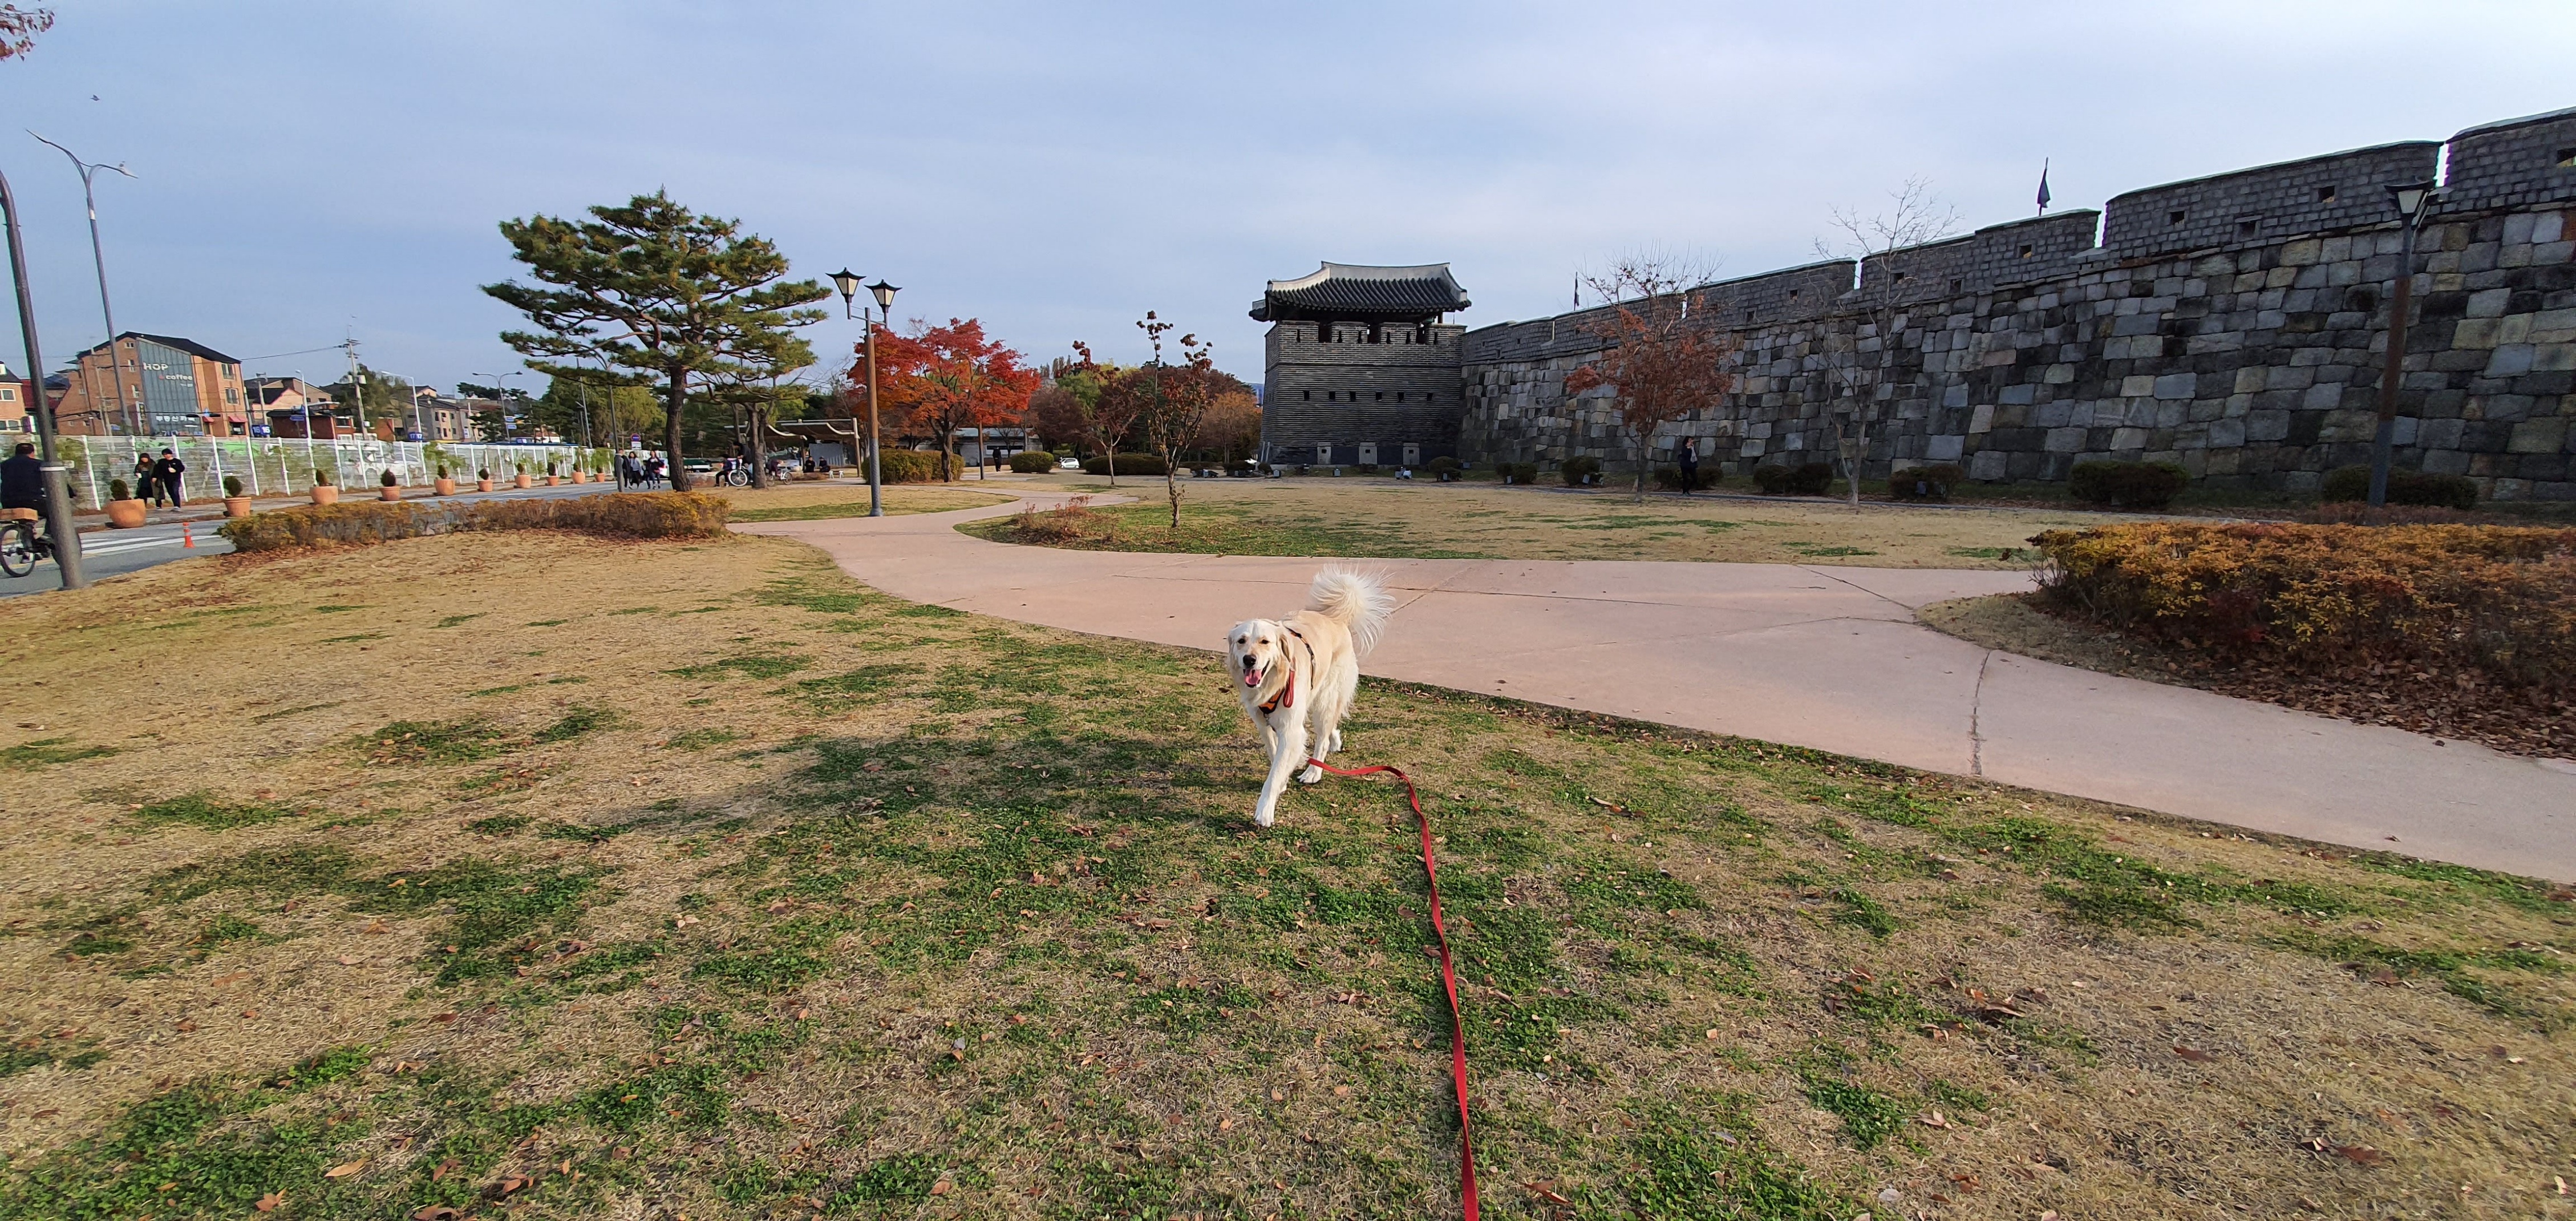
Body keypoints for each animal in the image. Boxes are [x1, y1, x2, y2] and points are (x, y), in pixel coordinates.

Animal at [1226, 567, 1396, 828]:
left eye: (1265, 642)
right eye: (1241, 641)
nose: (1249, 660)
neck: (1273, 682)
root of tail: (1335, 618)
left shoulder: (1291, 729)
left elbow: (1274, 773)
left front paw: (1265, 810)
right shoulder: (1263, 724)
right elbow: (1274, 755)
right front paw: (1283, 781)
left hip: (1325, 702)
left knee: (1323, 739)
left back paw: (1313, 772)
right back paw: (1334, 742)